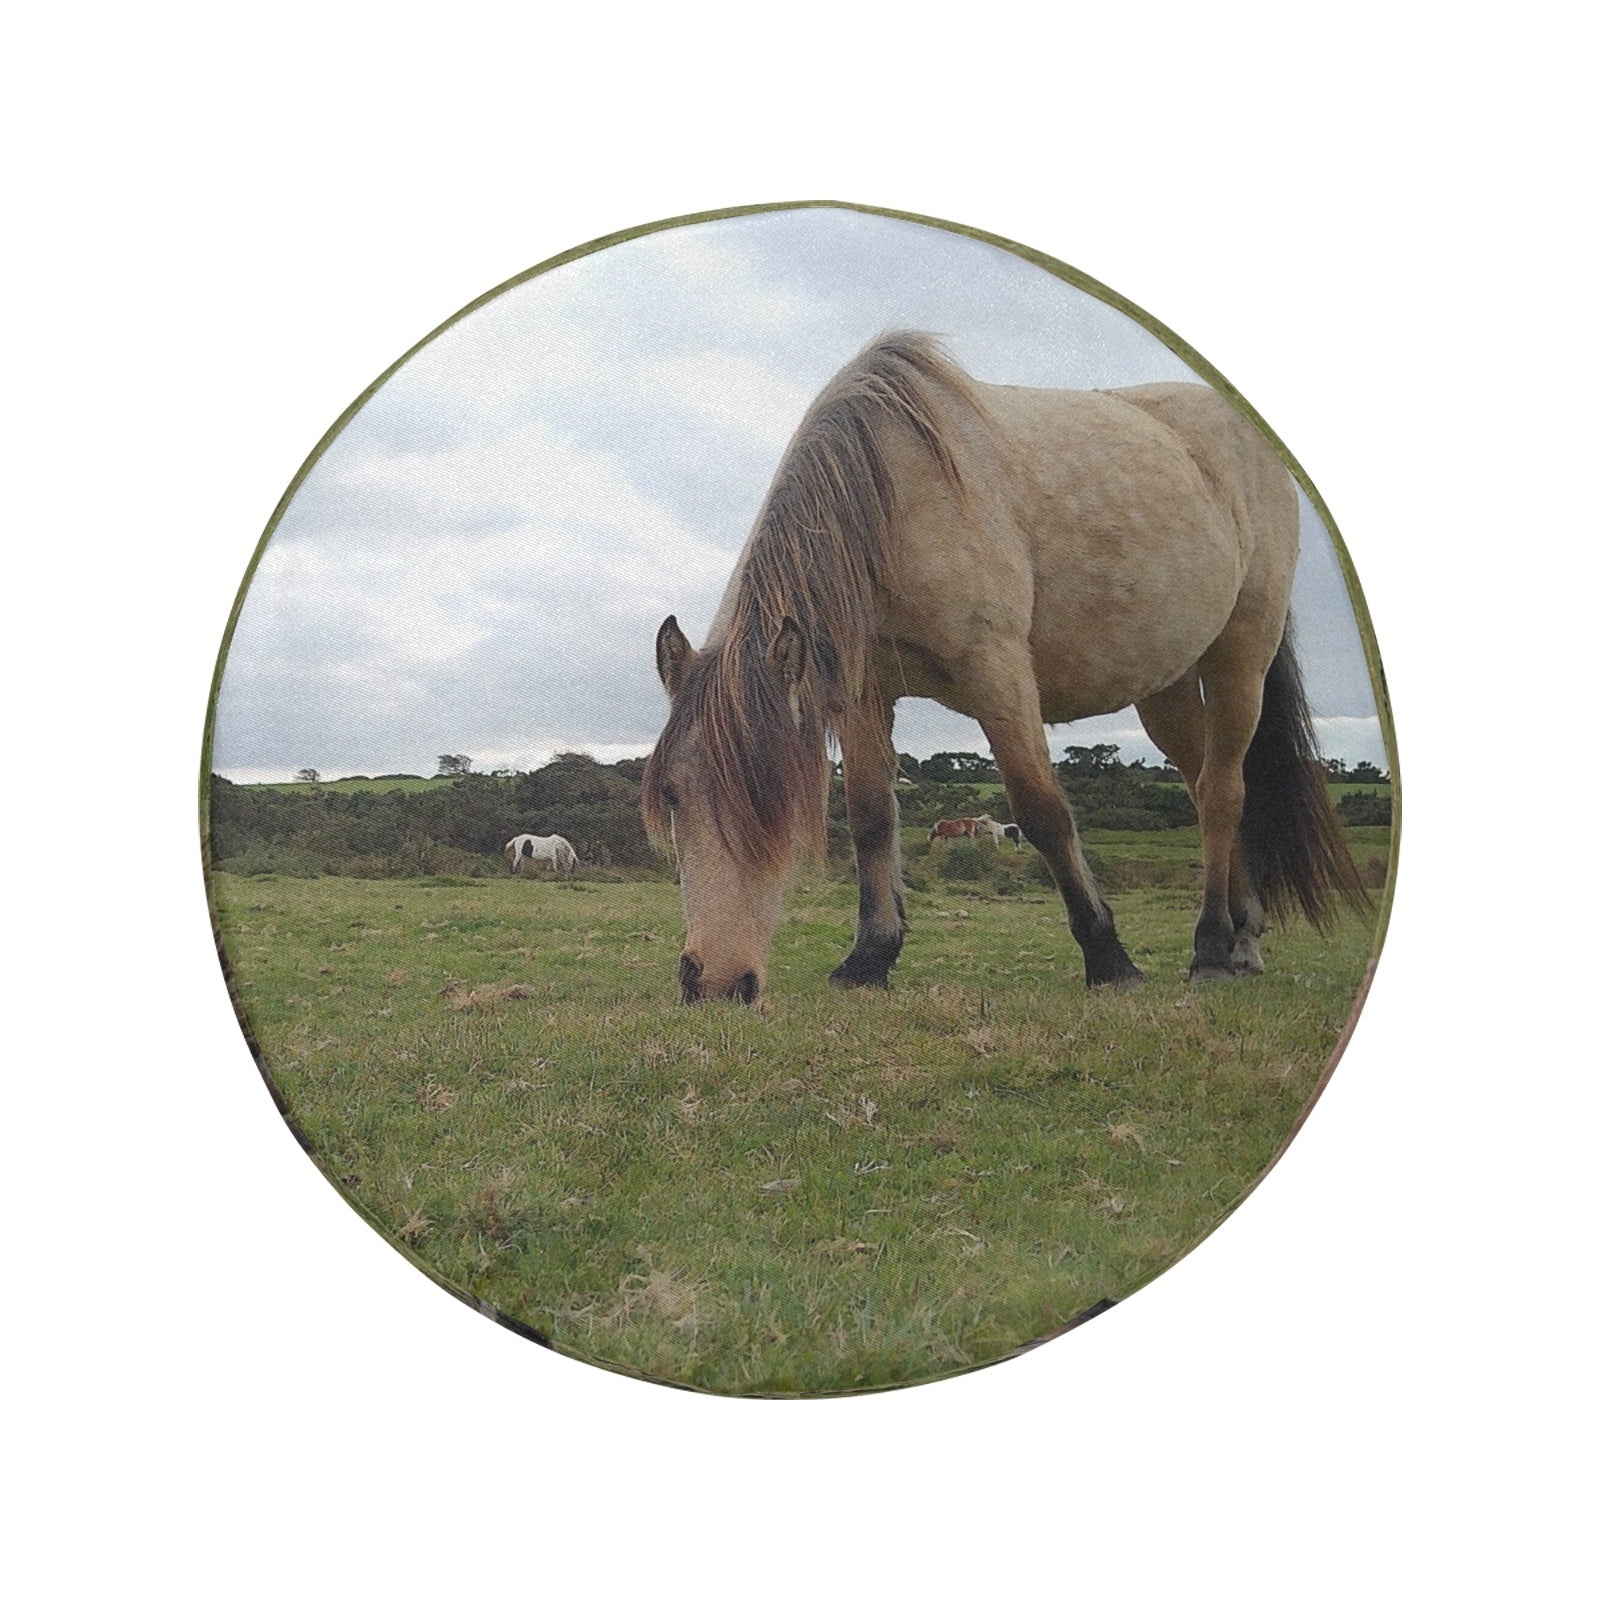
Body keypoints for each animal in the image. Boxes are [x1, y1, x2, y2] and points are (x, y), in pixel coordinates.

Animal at [643, 332, 1367, 1003]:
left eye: (772, 798)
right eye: (673, 795)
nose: (714, 982)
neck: (896, 496)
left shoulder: (997, 673)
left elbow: (1042, 811)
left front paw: (1109, 958)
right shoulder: (864, 691)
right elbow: (873, 816)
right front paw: (869, 958)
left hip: (1240, 656)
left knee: (1222, 792)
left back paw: (1213, 948)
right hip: (1164, 685)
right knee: (1201, 782)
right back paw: (1244, 937)